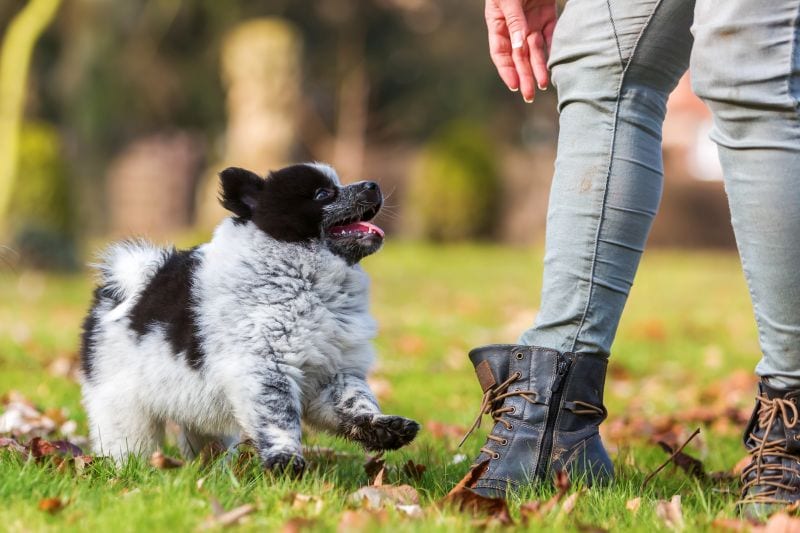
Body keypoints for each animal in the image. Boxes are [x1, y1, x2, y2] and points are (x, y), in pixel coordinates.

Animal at [79, 163, 422, 474]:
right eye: (323, 194)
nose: (373, 185)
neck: (303, 279)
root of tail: (123, 286)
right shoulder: (264, 367)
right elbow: (279, 417)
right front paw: (285, 459)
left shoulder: (333, 373)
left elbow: (356, 402)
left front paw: (381, 428)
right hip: (123, 408)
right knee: (127, 443)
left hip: (196, 410)